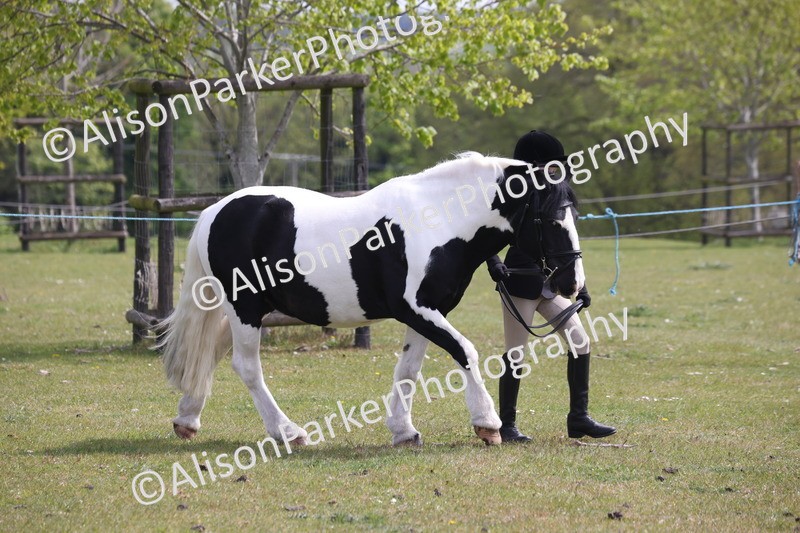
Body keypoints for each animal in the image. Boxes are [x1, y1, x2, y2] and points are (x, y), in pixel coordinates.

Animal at [158, 152, 585, 446]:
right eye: (551, 219)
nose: (573, 283)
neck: (438, 220)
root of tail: (215, 210)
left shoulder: (428, 313)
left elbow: (409, 369)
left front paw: (403, 431)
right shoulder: (416, 309)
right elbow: (465, 351)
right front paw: (487, 424)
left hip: (242, 310)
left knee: (210, 353)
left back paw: (187, 420)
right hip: (245, 309)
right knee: (246, 367)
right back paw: (287, 431)